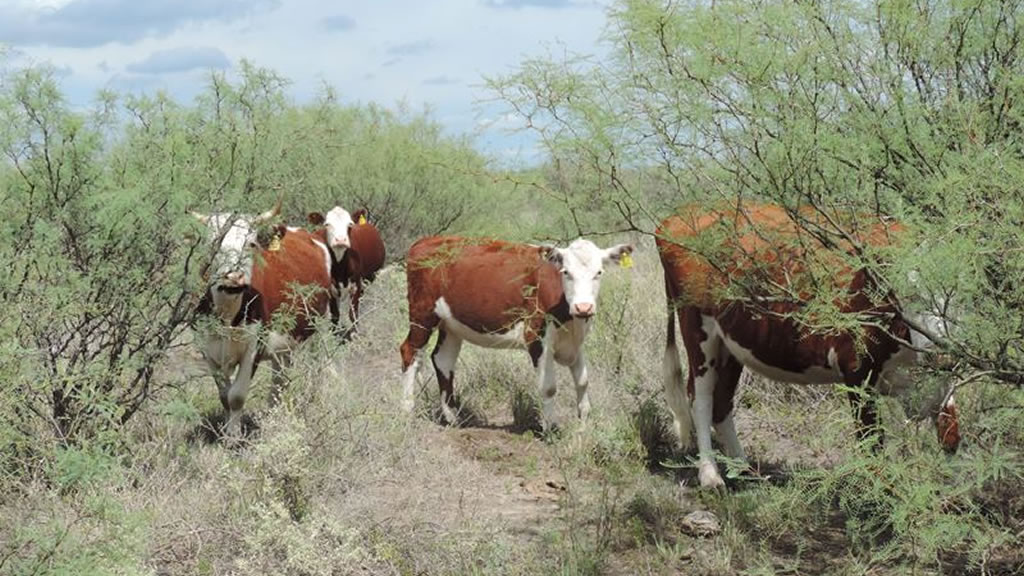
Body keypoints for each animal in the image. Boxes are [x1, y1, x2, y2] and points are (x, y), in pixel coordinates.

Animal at [191, 202, 331, 438]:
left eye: (251, 244)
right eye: (214, 244)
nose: (234, 277)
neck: (228, 315)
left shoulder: (254, 346)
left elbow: (236, 396)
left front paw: (233, 438)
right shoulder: (206, 348)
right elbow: (224, 396)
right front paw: (227, 432)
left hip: (320, 326)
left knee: (320, 365)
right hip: (285, 344)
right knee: (279, 380)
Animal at [305, 206, 385, 336]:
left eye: (350, 224)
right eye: (327, 224)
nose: (340, 240)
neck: (340, 268)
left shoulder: (356, 285)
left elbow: (353, 314)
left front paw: (354, 333)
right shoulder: (331, 289)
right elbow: (335, 315)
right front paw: (334, 333)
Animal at [397, 233, 630, 426]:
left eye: (599, 272)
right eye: (566, 272)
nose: (583, 307)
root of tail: (425, 241)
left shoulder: (575, 341)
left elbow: (582, 381)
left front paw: (584, 423)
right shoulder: (536, 337)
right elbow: (549, 387)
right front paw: (551, 428)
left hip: (451, 324)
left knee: (443, 360)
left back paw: (453, 417)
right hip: (422, 315)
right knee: (410, 352)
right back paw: (407, 410)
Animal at [655, 201, 958, 487]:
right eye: (910, 295)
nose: (940, 353)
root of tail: (677, 216)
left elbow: (951, 435)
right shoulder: (857, 369)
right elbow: (871, 444)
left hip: (732, 344)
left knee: (721, 403)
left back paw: (746, 471)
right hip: (697, 328)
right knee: (700, 398)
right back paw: (710, 475)